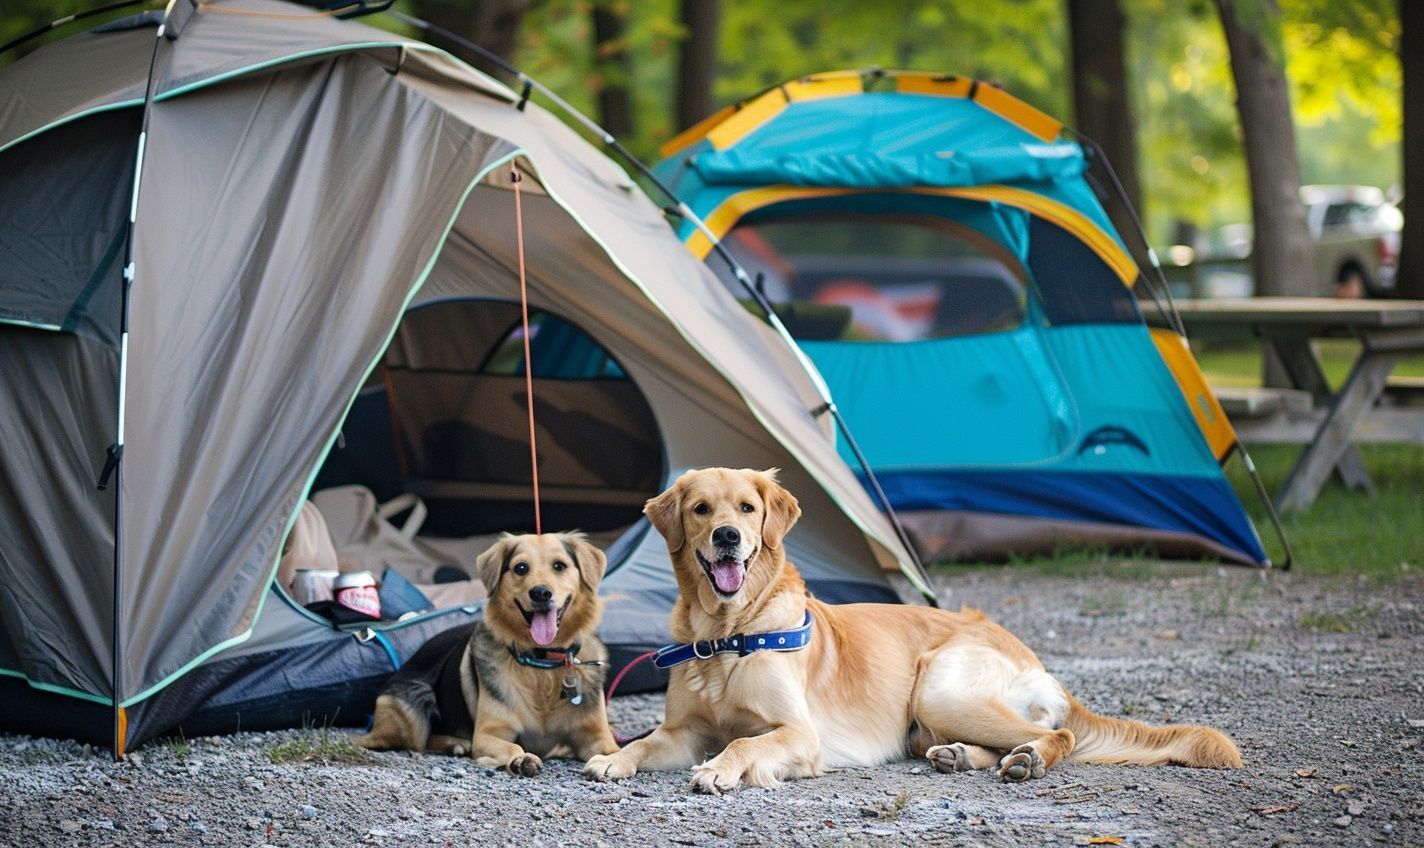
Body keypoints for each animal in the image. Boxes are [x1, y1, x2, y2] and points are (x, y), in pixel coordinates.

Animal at [356, 532, 618, 779]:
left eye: (559, 566)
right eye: (521, 568)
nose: (541, 593)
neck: (542, 662)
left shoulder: (598, 738)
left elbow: (615, 751)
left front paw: (613, 763)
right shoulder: (488, 735)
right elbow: (511, 746)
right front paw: (520, 759)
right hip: (414, 709)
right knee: (415, 741)